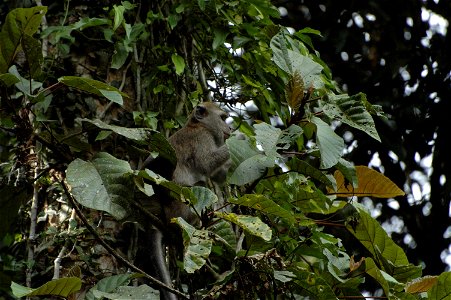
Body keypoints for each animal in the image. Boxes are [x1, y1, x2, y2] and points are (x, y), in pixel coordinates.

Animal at [143, 102, 231, 298]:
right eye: (223, 118)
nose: (230, 128)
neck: (198, 125)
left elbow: (218, 176)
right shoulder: (202, 139)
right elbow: (205, 163)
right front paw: (238, 142)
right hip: (178, 210)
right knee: (201, 185)